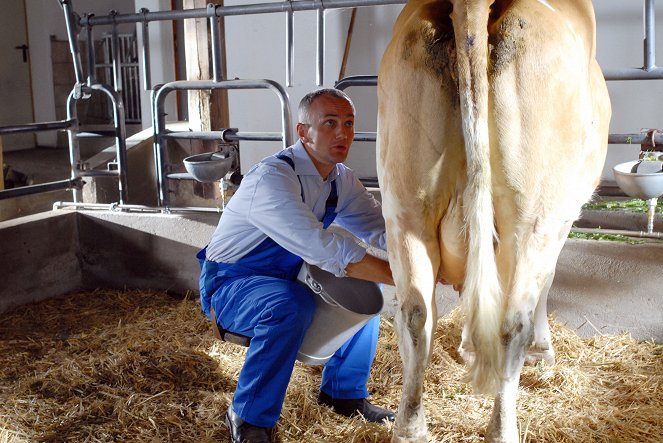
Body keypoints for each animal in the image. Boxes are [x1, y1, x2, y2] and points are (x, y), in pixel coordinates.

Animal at [378, 0, 612, 443]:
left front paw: (468, 346)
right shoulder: (559, 221)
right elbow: (546, 286)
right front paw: (543, 352)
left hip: (405, 209)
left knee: (417, 314)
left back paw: (411, 427)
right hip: (532, 218)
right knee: (512, 322)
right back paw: (502, 428)